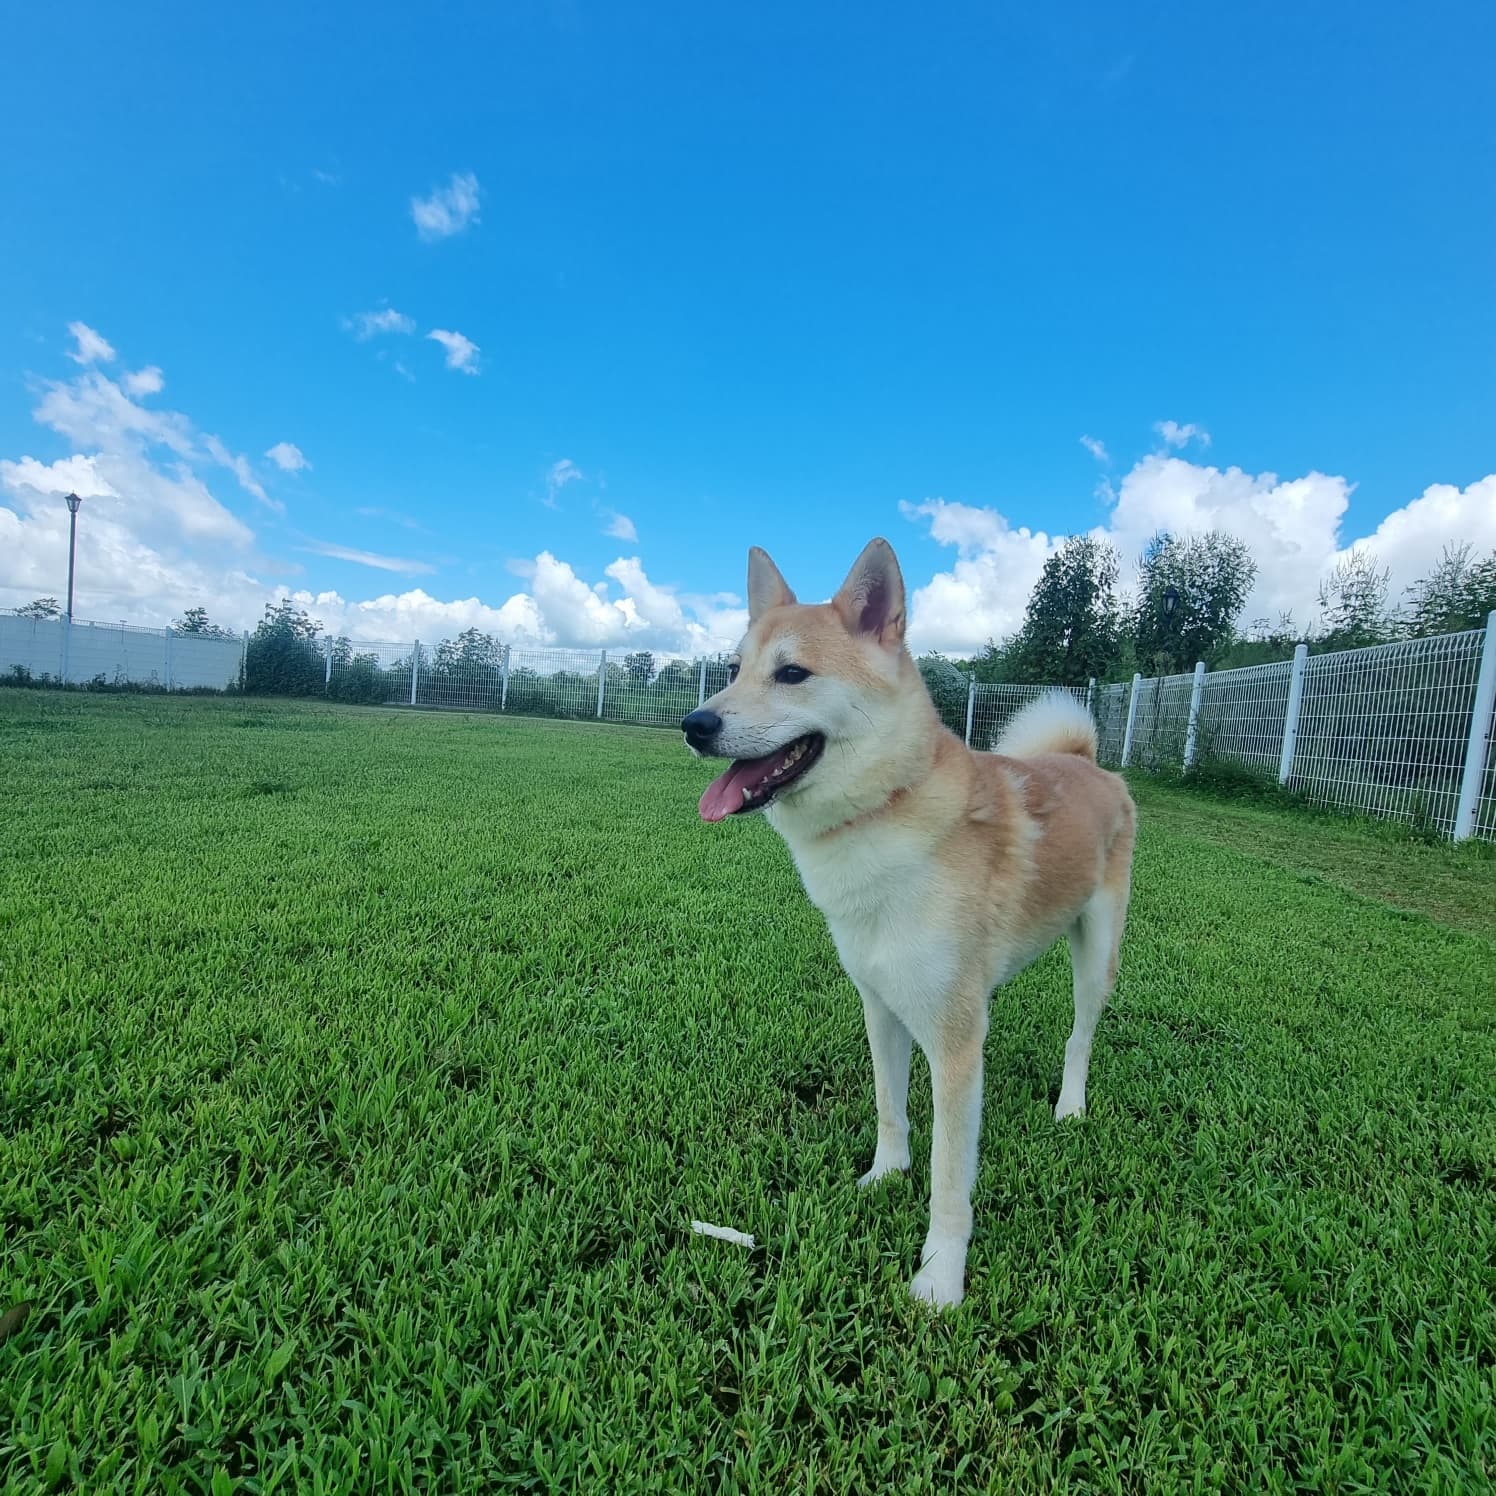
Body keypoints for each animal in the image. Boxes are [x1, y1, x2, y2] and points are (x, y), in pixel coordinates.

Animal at [685, 538, 1136, 1310]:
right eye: (735, 670)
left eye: (792, 673)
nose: (694, 725)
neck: (882, 814)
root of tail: (1087, 762)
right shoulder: (882, 1006)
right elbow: (890, 1110)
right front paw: (883, 1176)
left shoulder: (953, 1044)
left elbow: (950, 1179)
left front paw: (940, 1277)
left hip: (1096, 954)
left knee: (1079, 1037)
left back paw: (1071, 1107)